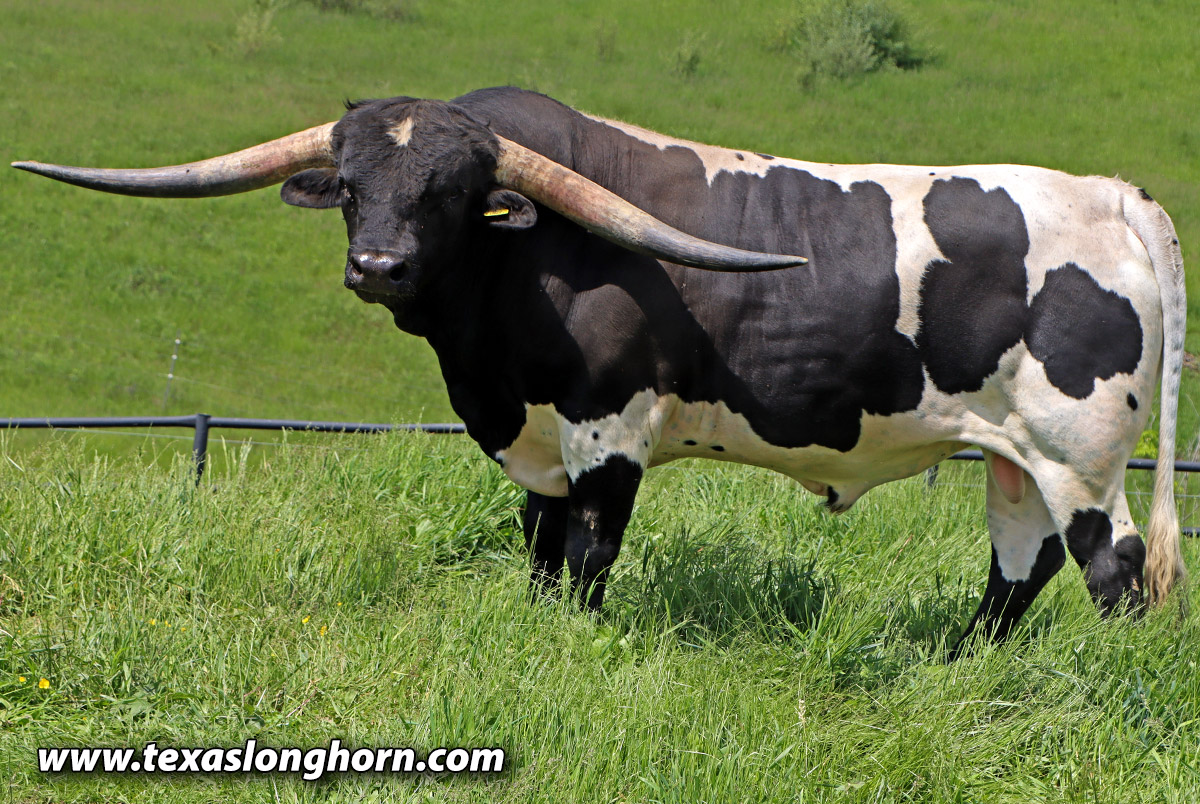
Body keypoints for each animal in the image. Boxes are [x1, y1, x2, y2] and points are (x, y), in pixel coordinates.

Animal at [14, 86, 1187, 654]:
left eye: (449, 192)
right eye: (350, 186)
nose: (377, 266)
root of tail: (1109, 191)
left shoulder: (607, 430)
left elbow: (586, 557)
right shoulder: (533, 440)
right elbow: (536, 555)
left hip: (1081, 451)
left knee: (1115, 567)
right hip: (1014, 456)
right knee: (1020, 566)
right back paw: (961, 666)